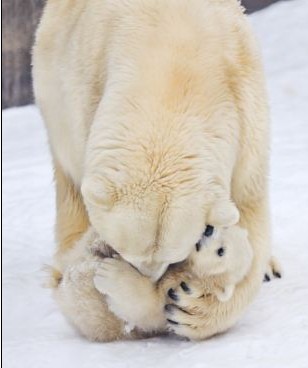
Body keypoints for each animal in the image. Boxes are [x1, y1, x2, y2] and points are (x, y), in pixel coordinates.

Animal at [32, 0, 270, 340]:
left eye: (173, 256)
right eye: (125, 250)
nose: (149, 277)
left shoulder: (245, 112)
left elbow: (249, 214)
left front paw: (191, 307)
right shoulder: (84, 89)